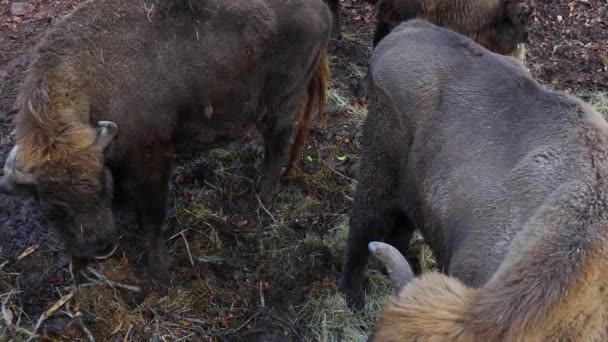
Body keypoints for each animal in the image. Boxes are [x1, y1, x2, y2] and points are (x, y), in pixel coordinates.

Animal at [1, 0, 332, 278]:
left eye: (102, 191)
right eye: (51, 210)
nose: (102, 249)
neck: (86, 78)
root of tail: (321, 9)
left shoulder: (153, 160)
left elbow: (152, 217)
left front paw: (160, 269)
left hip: (278, 107)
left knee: (277, 146)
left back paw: (262, 199)